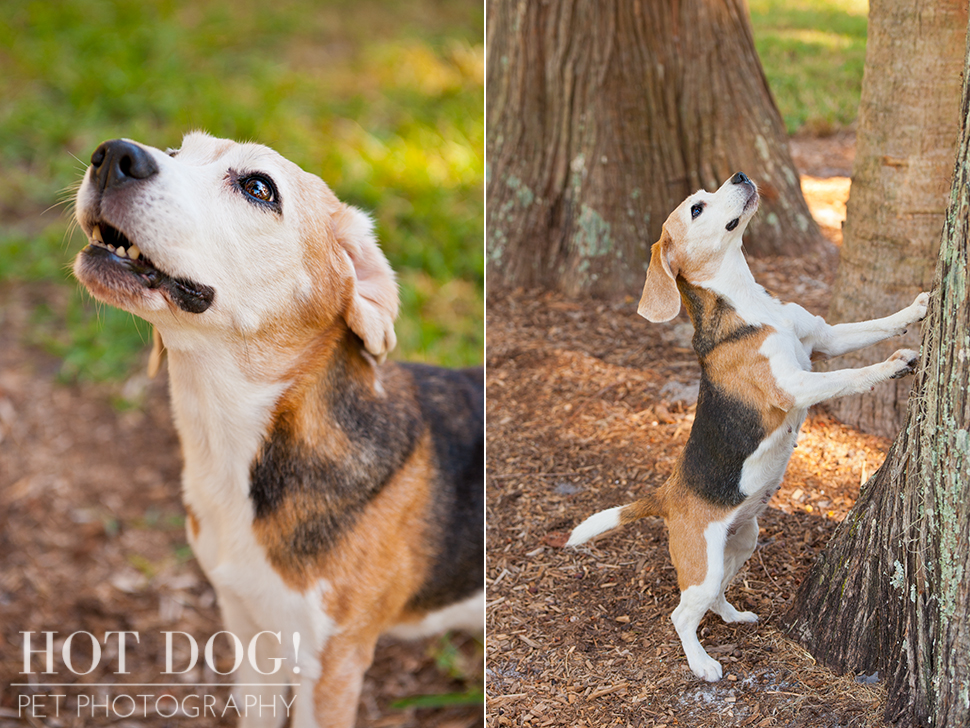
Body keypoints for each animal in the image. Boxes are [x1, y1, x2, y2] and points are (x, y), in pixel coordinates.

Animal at [73, 134, 484, 724]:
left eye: (258, 188)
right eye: (176, 151)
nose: (113, 155)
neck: (231, 443)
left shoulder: (331, 668)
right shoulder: (250, 631)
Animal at [568, 171, 932, 684]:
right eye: (696, 208)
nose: (739, 175)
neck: (748, 300)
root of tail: (667, 492)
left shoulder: (824, 338)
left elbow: (875, 324)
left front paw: (916, 309)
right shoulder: (795, 386)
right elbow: (850, 375)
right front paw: (892, 364)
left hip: (742, 542)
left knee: (717, 595)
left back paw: (734, 615)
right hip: (701, 566)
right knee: (682, 614)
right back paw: (701, 663)